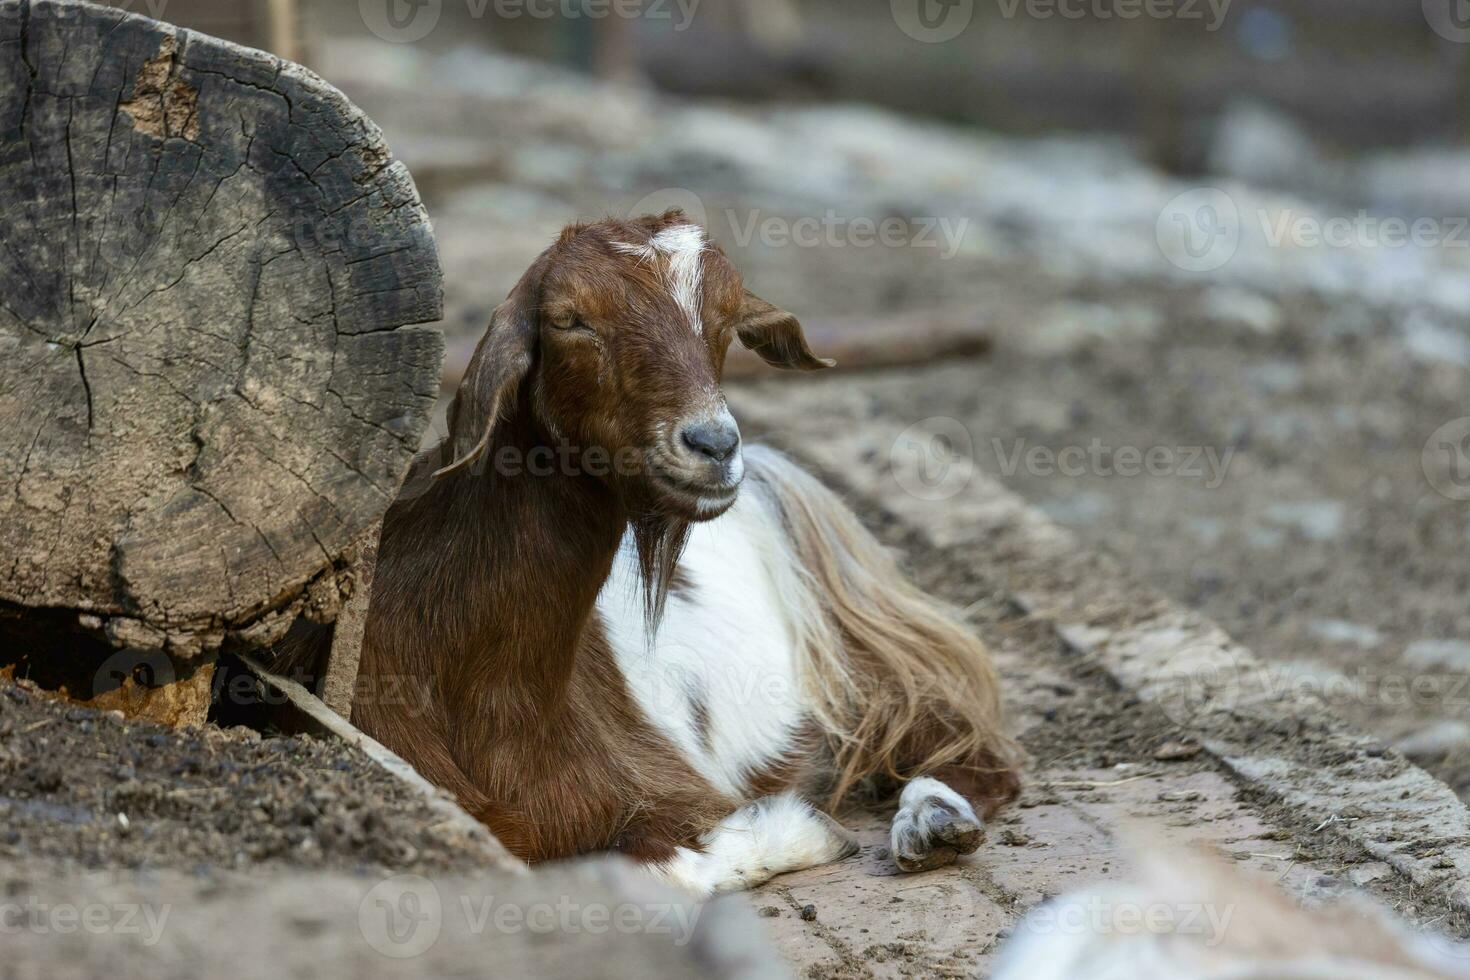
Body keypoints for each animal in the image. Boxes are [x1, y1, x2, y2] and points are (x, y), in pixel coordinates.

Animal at [355, 208, 1023, 899]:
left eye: (727, 319)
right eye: (570, 319)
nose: (714, 445)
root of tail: (778, 476)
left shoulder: (666, 788)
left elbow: (651, 859)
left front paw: (806, 828)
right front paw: (804, 827)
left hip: (875, 659)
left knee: (973, 750)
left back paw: (933, 824)